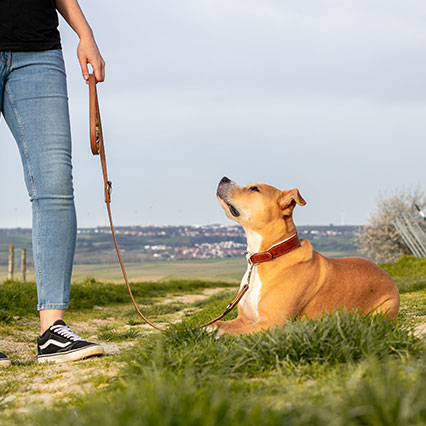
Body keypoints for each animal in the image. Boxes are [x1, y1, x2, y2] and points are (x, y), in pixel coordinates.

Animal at [215, 176, 402, 336]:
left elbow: (228, 332)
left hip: (382, 310)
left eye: (254, 188)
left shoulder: (272, 322)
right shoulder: (244, 319)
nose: (224, 178)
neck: (267, 256)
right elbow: (218, 324)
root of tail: (385, 273)